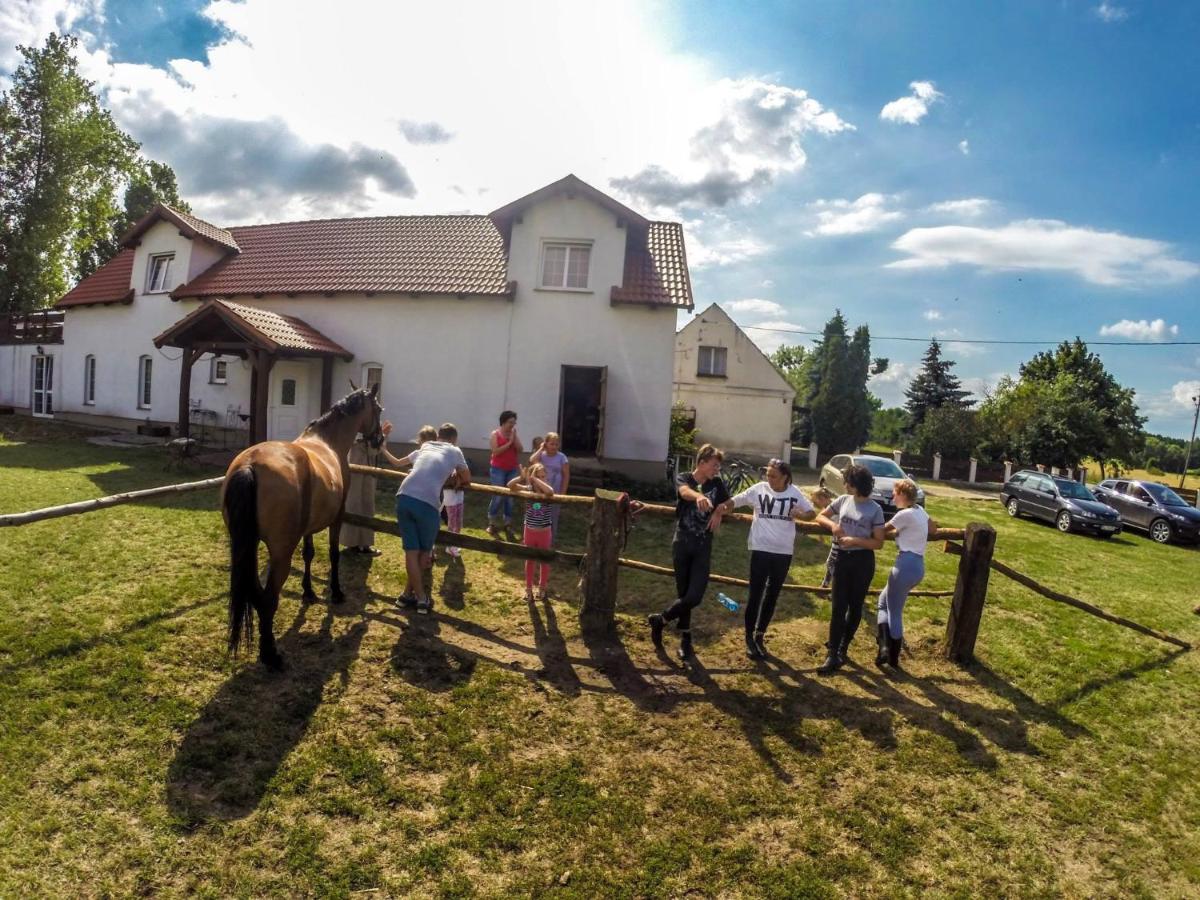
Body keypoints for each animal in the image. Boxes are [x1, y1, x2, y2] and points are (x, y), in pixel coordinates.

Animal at [220, 383, 384, 670]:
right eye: (379, 409)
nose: (378, 440)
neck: (326, 442)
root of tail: (250, 465)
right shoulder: (337, 517)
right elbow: (333, 554)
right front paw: (336, 592)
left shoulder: (308, 528)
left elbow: (308, 554)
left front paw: (308, 591)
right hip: (280, 554)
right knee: (267, 600)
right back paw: (270, 654)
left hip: (247, 548)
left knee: (256, 593)